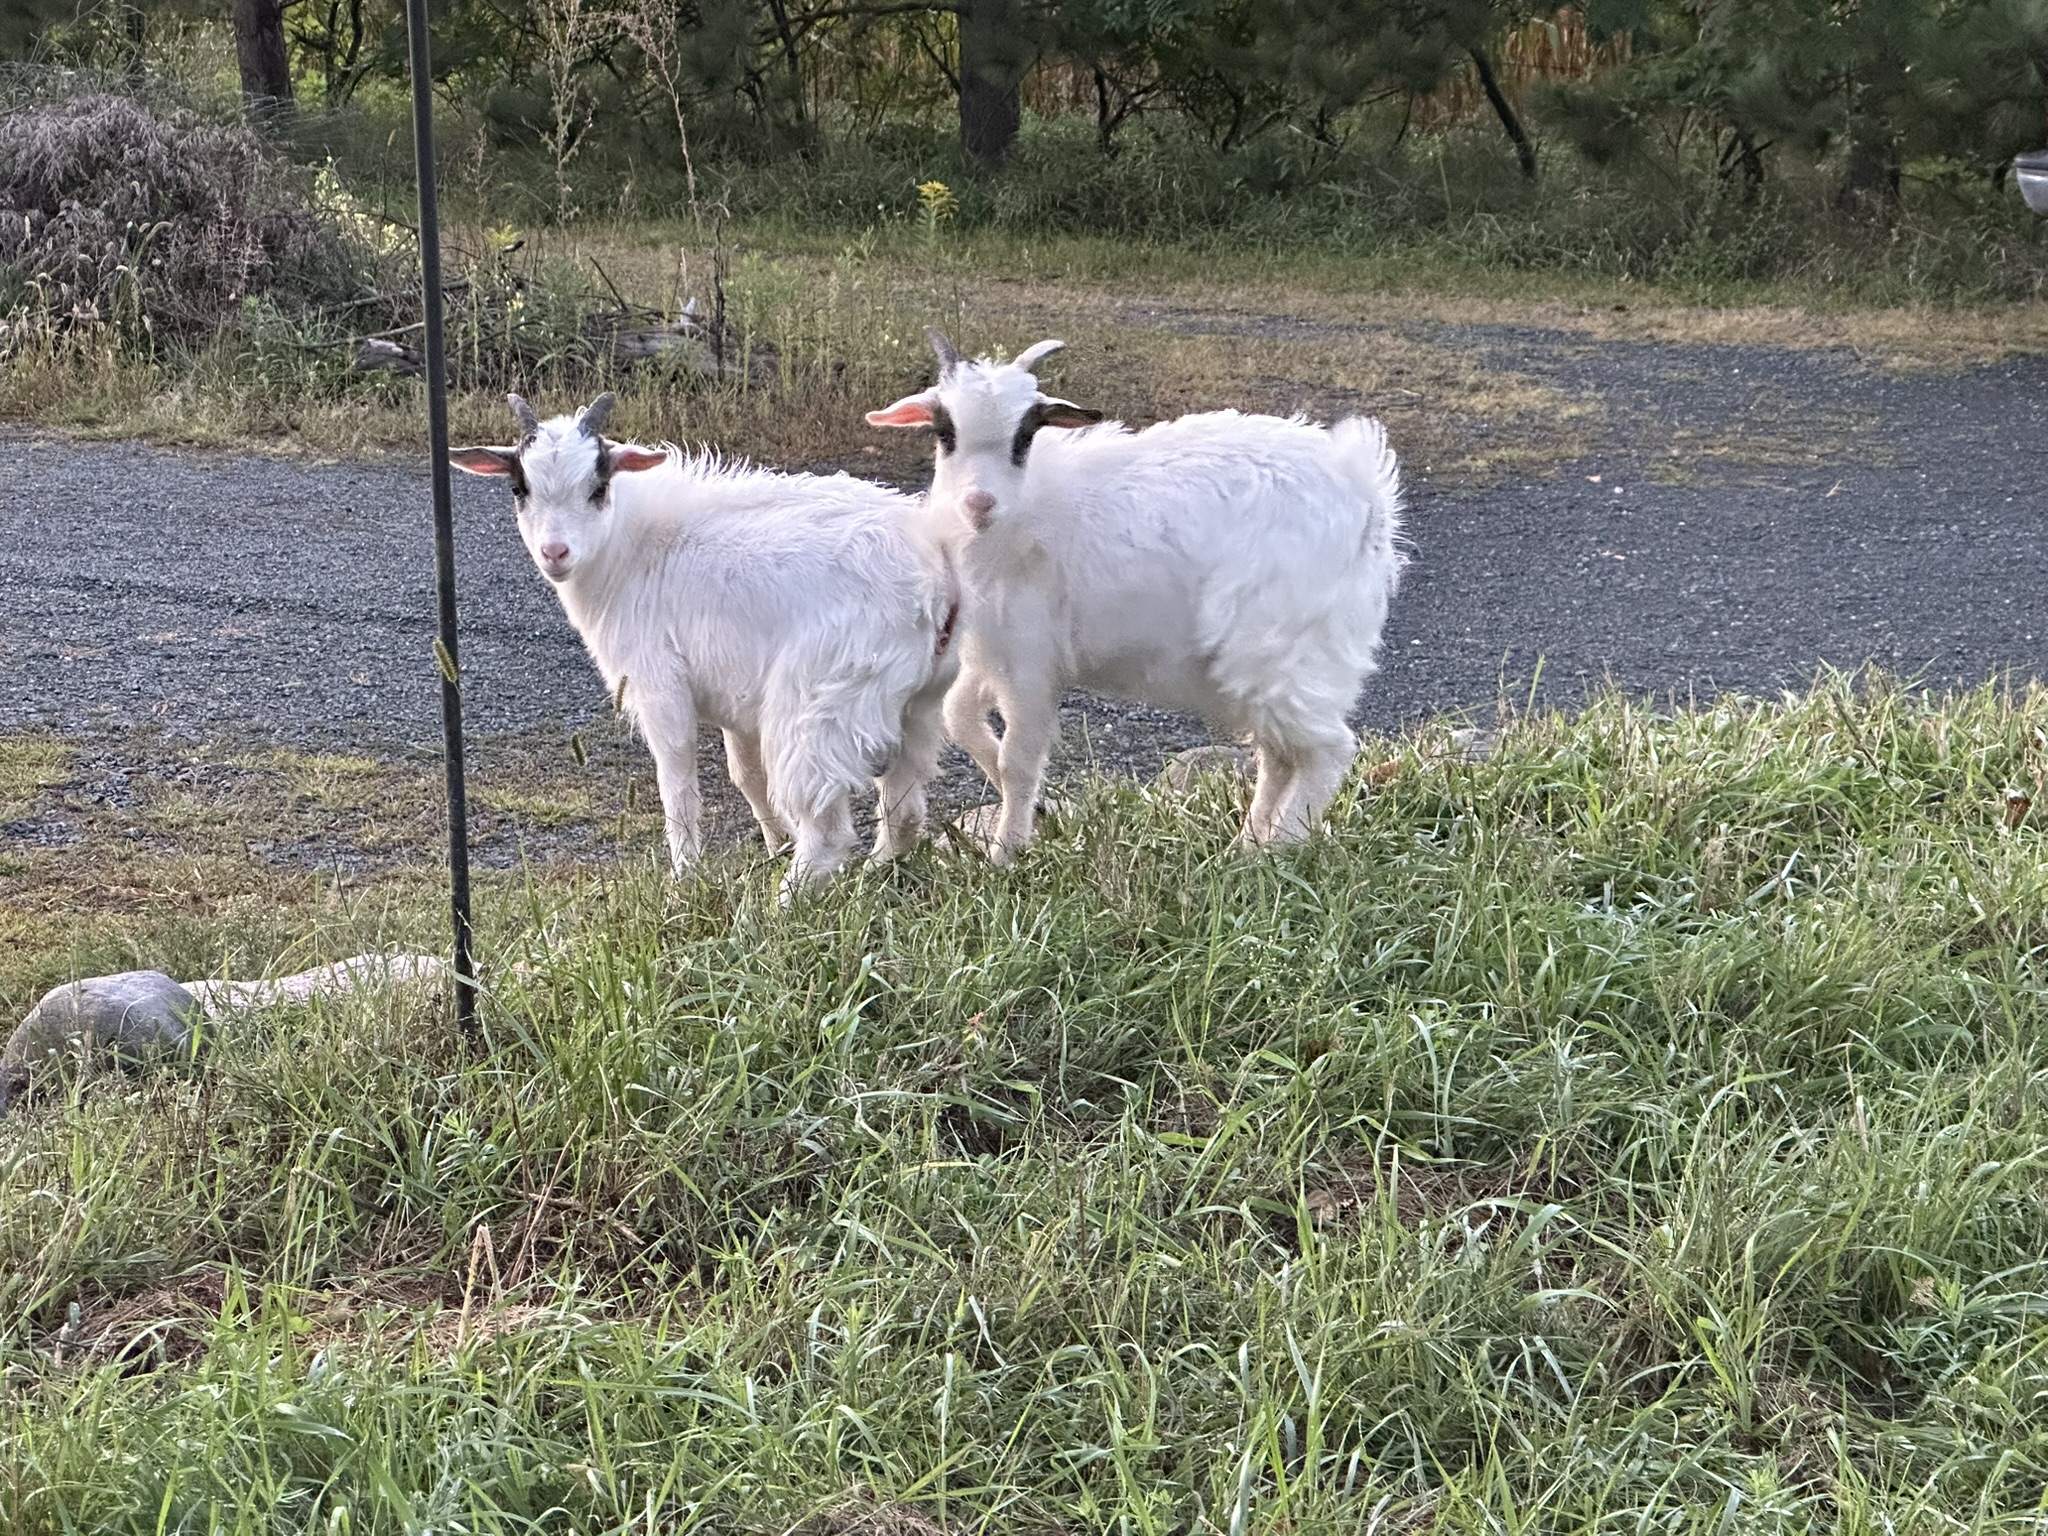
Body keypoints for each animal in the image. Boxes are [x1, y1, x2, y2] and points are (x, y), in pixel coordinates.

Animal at [453, 393, 960, 897]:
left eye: (597, 489)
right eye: (519, 489)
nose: (555, 553)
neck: (633, 551)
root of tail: (933, 580)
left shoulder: (660, 683)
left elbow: (676, 783)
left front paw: (685, 878)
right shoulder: (738, 700)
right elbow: (748, 778)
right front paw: (776, 844)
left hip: (820, 704)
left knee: (828, 830)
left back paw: (778, 905)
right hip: (919, 704)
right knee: (905, 812)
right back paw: (873, 874)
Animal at [867, 332, 1404, 862]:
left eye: (1025, 435)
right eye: (945, 432)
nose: (979, 503)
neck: (1018, 516)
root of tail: (1365, 491)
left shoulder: (1030, 659)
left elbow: (1019, 760)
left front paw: (1007, 853)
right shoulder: (994, 650)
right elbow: (960, 717)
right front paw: (1023, 802)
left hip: (1287, 648)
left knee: (1328, 749)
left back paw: (1281, 844)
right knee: (1278, 756)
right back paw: (1248, 845)